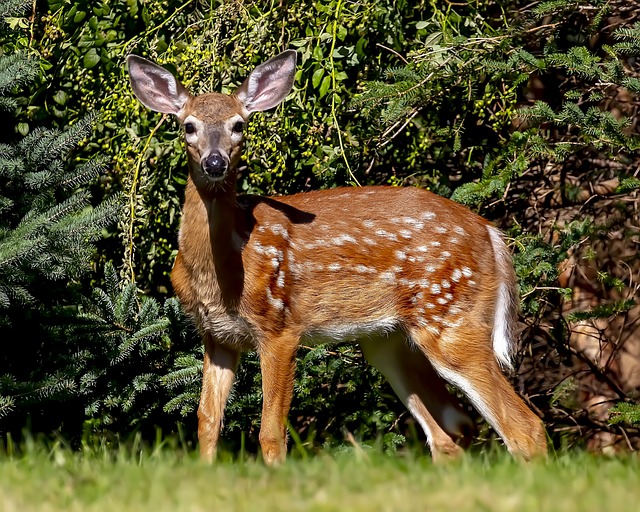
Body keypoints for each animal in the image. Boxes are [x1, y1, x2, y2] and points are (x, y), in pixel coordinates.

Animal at [127, 50, 548, 466]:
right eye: (188, 126)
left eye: (238, 125)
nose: (215, 163)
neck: (223, 269)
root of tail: (491, 233)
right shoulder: (217, 336)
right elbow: (207, 422)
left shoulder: (280, 326)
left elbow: (270, 432)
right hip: (387, 340)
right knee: (451, 431)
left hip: (451, 317)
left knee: (523, 426)